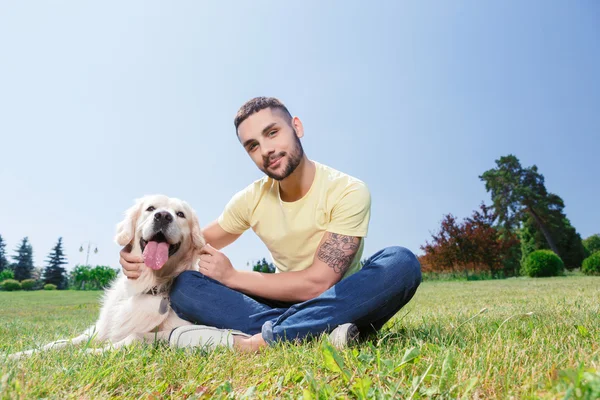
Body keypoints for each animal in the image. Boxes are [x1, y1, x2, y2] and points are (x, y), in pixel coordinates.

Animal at [9, 194, 202, 360]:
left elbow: (135, 336)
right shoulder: (98, 330)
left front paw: (89, 353)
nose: (162, 216)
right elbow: (58, 343)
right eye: (151, 208)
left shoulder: (178, 330)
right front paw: (16, 355)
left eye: (180, 214)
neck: (149, 284)